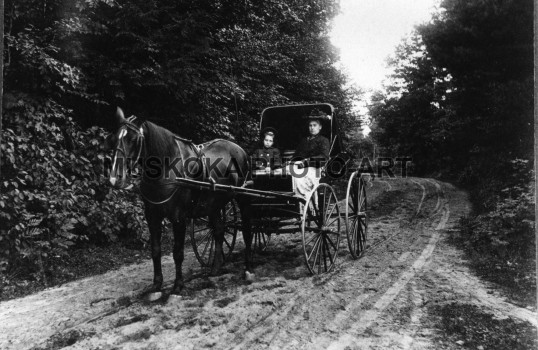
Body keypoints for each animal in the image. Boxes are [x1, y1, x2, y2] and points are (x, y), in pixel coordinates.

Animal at [108, 107, 254, 296]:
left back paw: (248, 268)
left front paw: (178, 285)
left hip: (243, 197)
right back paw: (215, 268)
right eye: (113, 139)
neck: (167, 167)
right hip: (214, 204)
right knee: (219, 230)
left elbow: (178, 252)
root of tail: (239, 149)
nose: (114, 179)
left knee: (247, 231)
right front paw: (157, 284)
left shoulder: (178, 218)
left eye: (133, 139)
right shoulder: (152, 216)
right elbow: (155, 250)